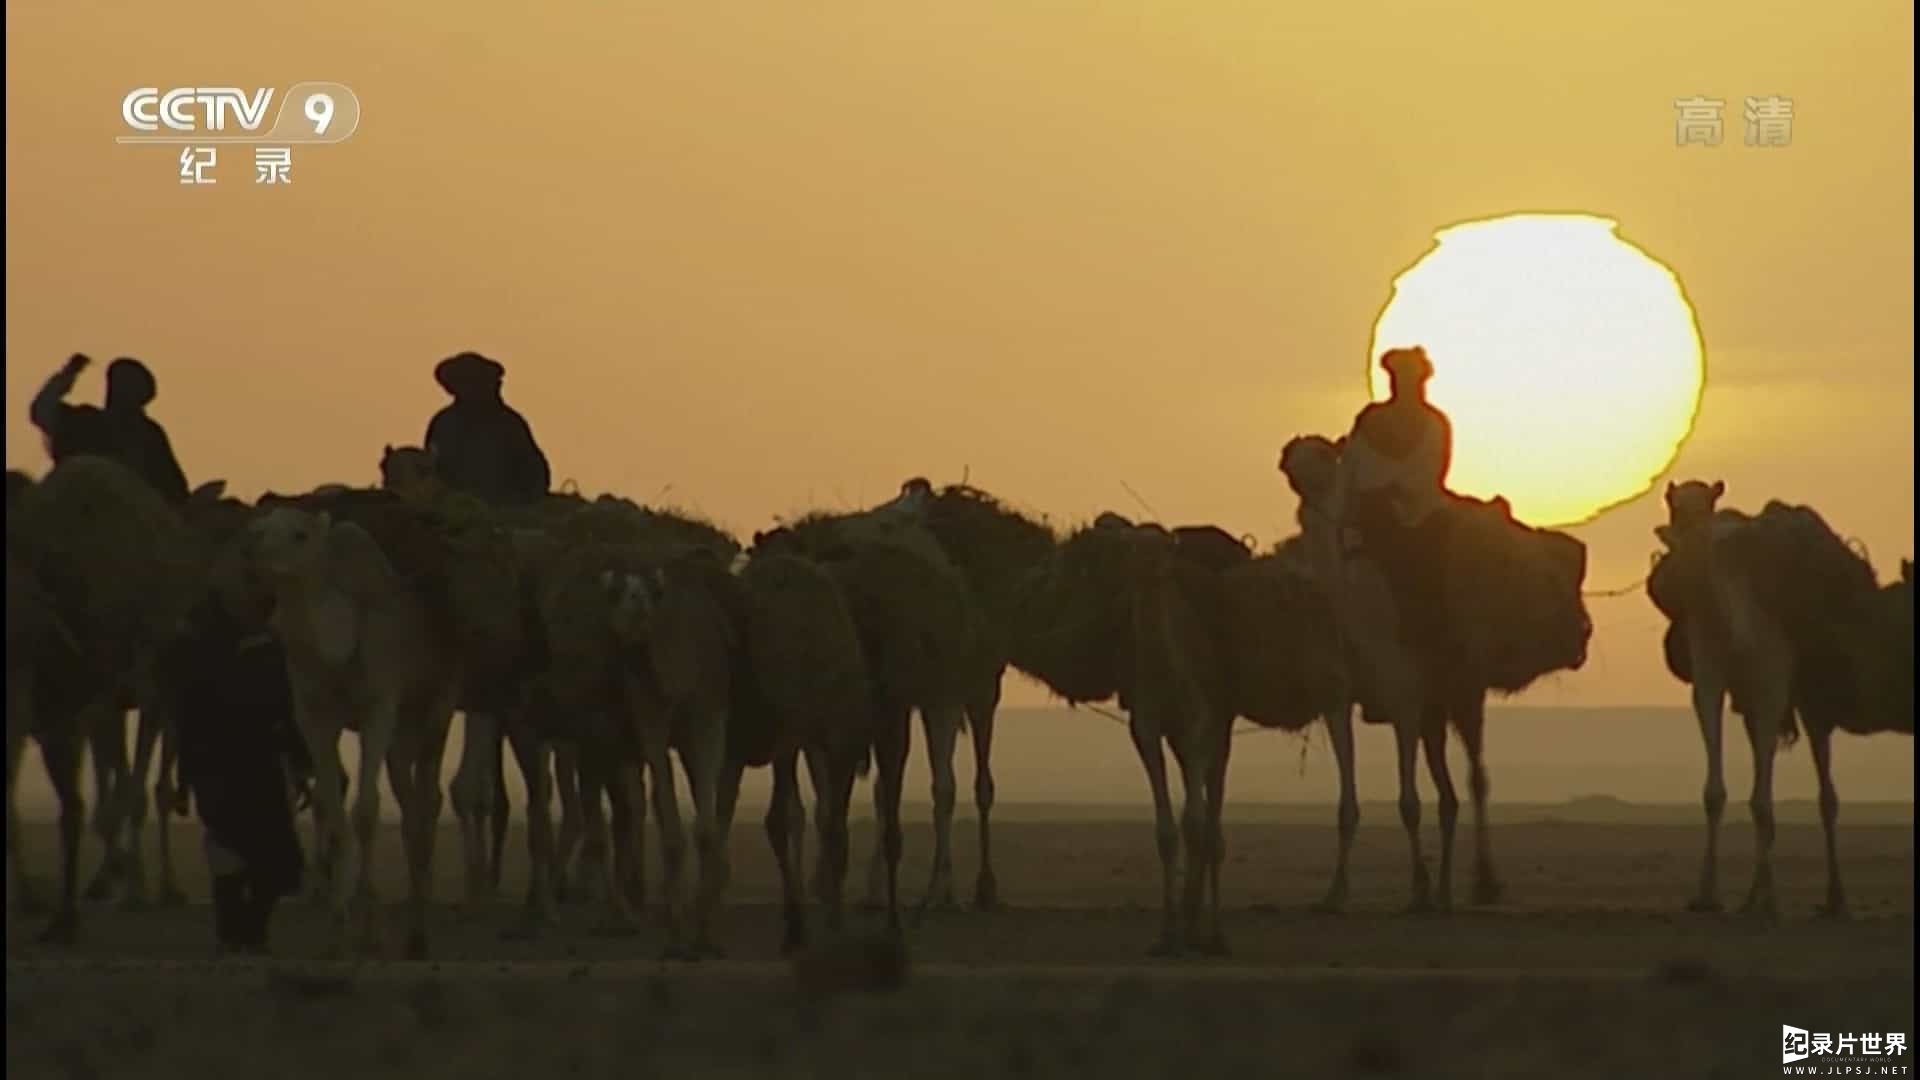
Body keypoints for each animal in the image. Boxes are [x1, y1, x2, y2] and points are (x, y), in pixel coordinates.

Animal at [243, 499, 460, 953]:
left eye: (300, 535)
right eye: (258, 529)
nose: (250, 551)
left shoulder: (379, 705)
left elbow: (366, 810)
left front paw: (369, 930)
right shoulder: (313, 717)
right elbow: (333, 810)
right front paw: (338, 928)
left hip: (439, 704)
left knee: (427, 794)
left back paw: (419, 931)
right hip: (403, 731)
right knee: (409, 799)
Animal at [1282, 432, 1582, 910]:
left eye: (1324, 467)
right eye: (1295, 472)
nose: (1314, 502)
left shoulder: (1403, 698)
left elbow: (1409, 802)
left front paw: (1418, 887)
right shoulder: (1338, 701)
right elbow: (1347, 805)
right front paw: (1335, 892)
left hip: (1463, 689)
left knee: (1475, 780)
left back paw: (1482, 882)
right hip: (1437, 705)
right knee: (1450, 796)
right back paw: (1446, 890)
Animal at [1651, 476, 1904, 907]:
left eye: (1707, 503)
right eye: (1673, 504)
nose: (1686, 540)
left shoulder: (1771, 682)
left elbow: (1761, 801)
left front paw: (1761, 898)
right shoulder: (1710, 682)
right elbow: (1716, 793)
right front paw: (1707, 894)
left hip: (1809, 694)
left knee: (1825, 795)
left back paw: (1832, 897)